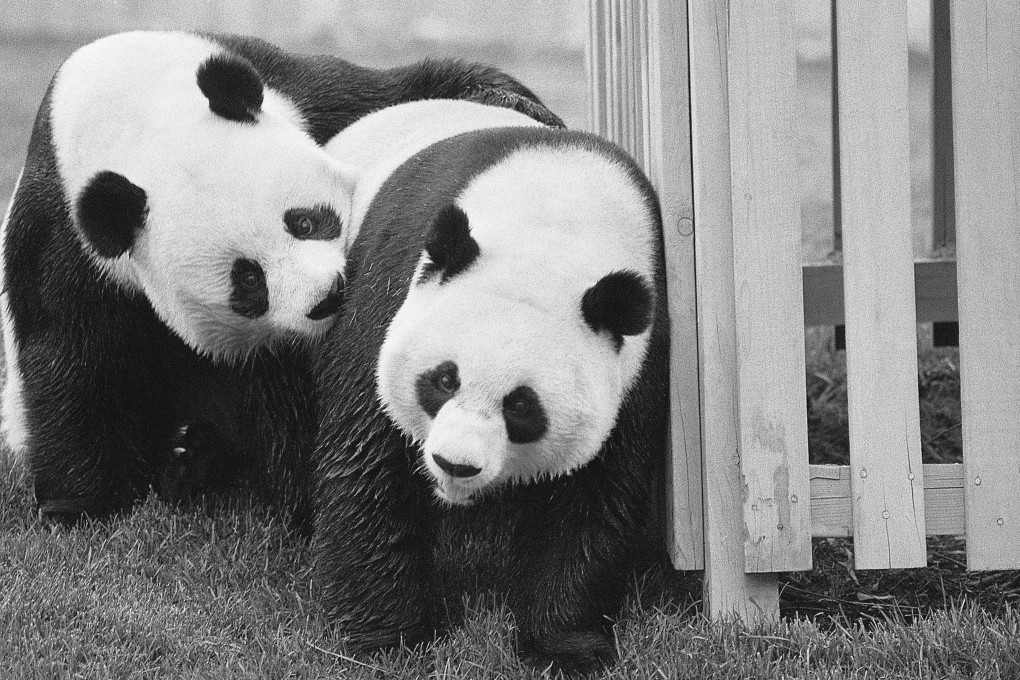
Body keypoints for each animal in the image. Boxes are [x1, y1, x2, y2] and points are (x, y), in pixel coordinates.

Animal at [1, 31, 562, 522]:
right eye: (247, 280)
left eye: (305, 221)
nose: (328, 299)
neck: (132, 115)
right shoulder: (64, 238)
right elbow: (68, 354)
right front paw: (81, 504)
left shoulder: (303, 94)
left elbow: (398, 90)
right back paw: (190, 457)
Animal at [313, 100, 667, 674]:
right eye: (443, 379)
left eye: (521, 407)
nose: (455, 464)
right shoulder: (389, 290)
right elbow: (368, 460)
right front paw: (388, 640)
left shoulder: (639, 360)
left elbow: (595, 496)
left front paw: (566, 646)